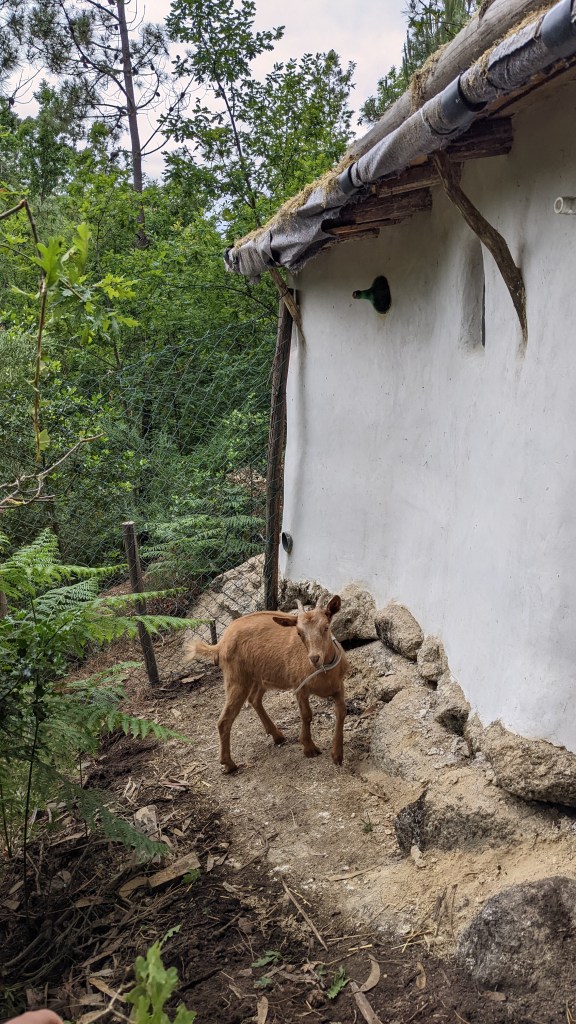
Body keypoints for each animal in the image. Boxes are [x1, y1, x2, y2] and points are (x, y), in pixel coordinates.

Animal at [184, 595, 349, 773]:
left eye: (326, 627)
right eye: (299, 633)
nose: (314, 658)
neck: (324, 673)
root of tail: (220, 644)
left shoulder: (339, 686)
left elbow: (341, 712)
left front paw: (337, 755)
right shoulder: (300, 687)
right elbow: (306, 715)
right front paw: (309, 748)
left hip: (258, 678)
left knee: (254, 699)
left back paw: (277, 736)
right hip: (236, 679)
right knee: (224, 721)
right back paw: (229, 764)